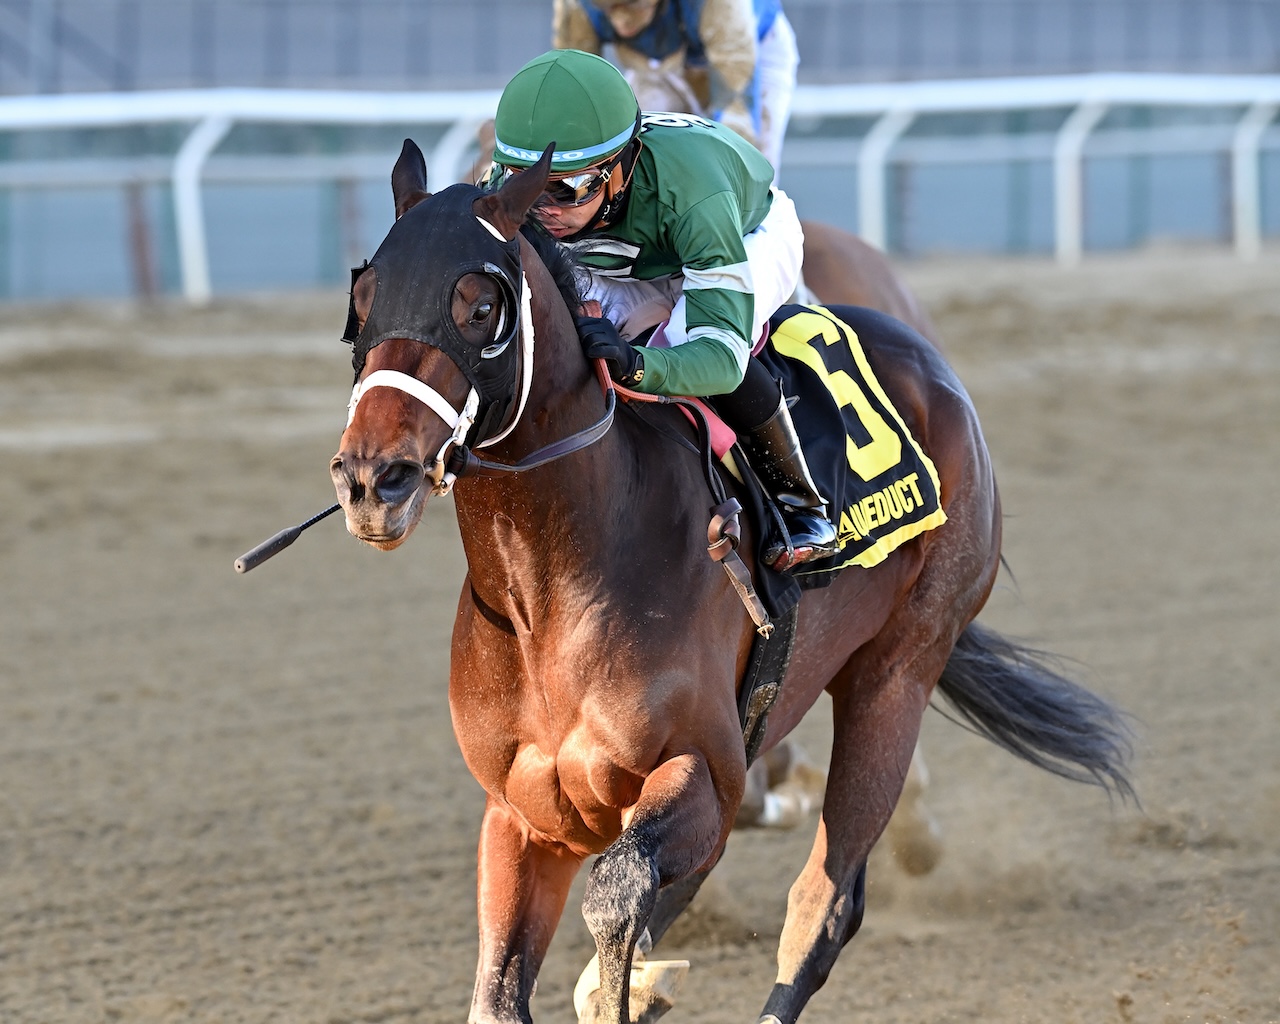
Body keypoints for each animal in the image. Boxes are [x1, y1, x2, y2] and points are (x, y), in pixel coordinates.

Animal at [327, 142, 1131, 1024]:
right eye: (364, 299)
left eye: (478, 306)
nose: (374, 478)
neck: (551, 592)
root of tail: (927, 361)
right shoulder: (524, 812)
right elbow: (503, 991)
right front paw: (629, 983)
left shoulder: (707, 771)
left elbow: (618, 892)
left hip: (898, 673)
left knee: (826, 902)